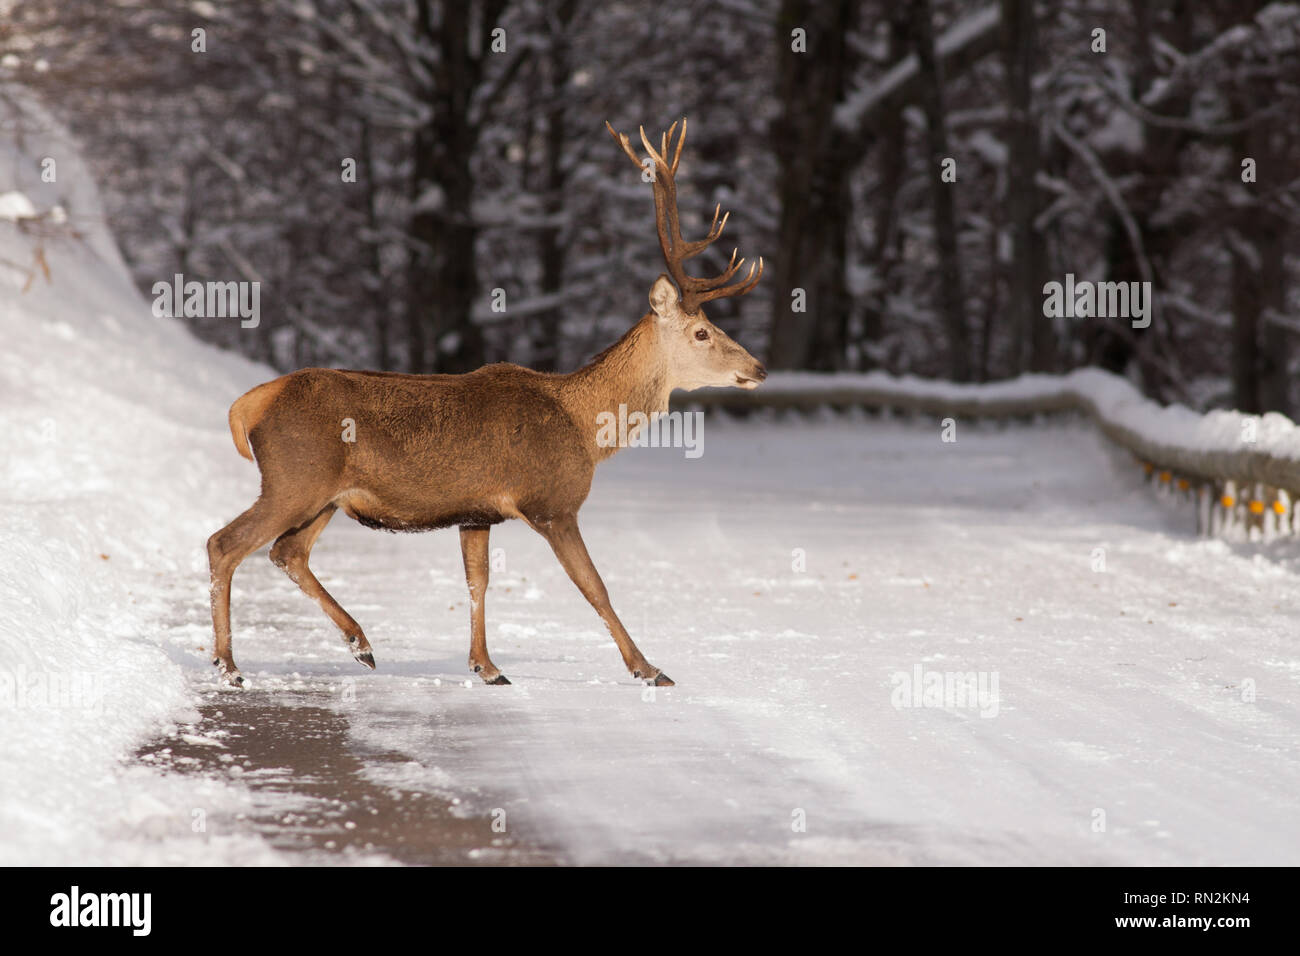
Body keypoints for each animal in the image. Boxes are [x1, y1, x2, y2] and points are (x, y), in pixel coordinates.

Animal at [208, 117, 764, 686]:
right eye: (701, 332)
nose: (758, 369)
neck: (584, 426)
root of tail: (249, 404)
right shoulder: (552, 501)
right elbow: (595, 587)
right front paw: (648, 669)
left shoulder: (477, 512)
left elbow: (478, 580)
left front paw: (486, 666)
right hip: (296, 477)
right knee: (225, 543)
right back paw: (229, 665)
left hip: (326, 495)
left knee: (286, 552)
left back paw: (360, 644)